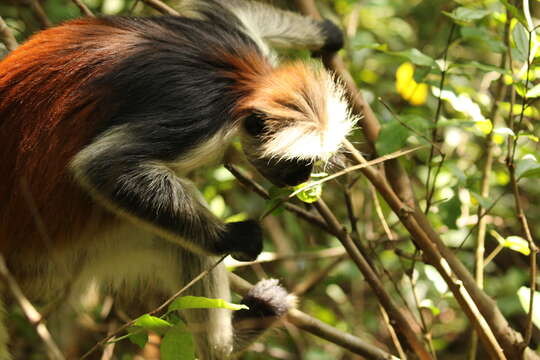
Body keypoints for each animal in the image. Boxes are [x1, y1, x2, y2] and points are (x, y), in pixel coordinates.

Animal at [0, 0, 354, 358]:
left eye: (309, 163)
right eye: (298, 162)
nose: (302, 176)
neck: (241, 84)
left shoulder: (238, 36)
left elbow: (236, 11)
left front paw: (328, 33)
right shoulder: (200, 117)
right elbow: (105, 166)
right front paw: (234, 236)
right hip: (63, 248)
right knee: (185, 244)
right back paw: (227, 343)